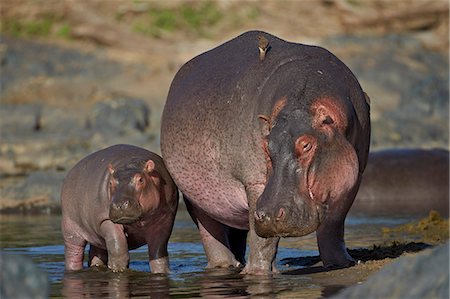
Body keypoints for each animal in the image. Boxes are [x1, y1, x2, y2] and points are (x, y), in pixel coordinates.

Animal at [60, 144, 179, 274]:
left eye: (140, 180)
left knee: (97, 253)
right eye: (111, 182)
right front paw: (118, 270)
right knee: (73, 253)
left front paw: (162, 272)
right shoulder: (105, 220)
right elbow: (118, 248)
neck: (132, 163)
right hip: (70, 229)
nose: (120, 204)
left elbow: (158, 254)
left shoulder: (165, 220)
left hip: (97, 237)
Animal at [160, 29, 370, 274]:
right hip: (198, 197)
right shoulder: (255, 183)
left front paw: (342, 263)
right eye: (265, 145)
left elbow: (334, 224)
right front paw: (257, 273)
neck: (304, 97)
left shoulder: (354, 176)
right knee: (211, 233)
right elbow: (263, 240)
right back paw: (226, 266)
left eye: (306, 145)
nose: (268, 215)